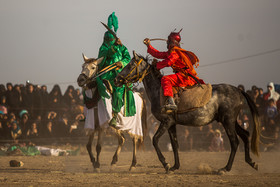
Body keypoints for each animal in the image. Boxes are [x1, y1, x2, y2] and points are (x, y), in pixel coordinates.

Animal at [114, 51, 260, 174]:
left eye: (130, 65)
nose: (116, 79)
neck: (159, 91)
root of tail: (238, 90)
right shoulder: (172, 124)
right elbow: (174, 144)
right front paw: (174, 166)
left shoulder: (166, 122)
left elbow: (155, 140)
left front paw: (166, 164)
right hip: (231, 121)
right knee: (245, 135)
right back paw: (251, 162)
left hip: (228, 121)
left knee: (235, 142)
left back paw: (225, 168)